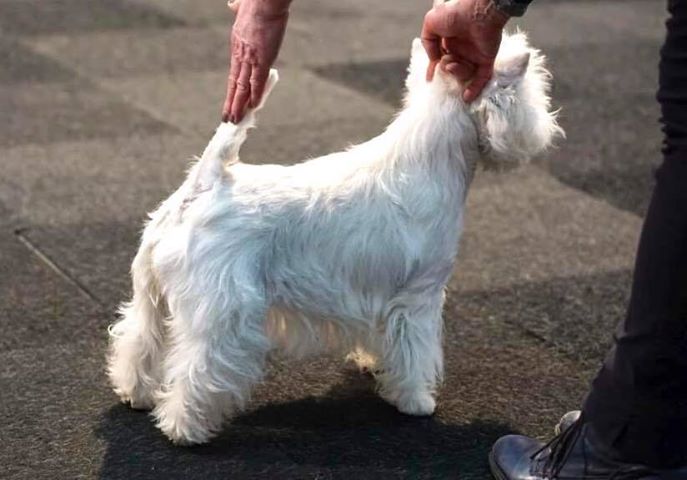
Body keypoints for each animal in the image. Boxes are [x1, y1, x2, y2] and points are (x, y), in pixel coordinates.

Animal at [109, 31, 564, 444]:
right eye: (532, 90)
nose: (547, 126)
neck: (430, 161)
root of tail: (206, 182)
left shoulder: (379, 296)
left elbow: (385, 341)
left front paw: (373, 365)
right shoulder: (420, 296)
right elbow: (416, 352)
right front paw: (416, 401)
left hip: (152, 294)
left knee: (139, 340)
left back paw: (136, 394)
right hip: (223, 310)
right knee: (197, 367)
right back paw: (186, 430)